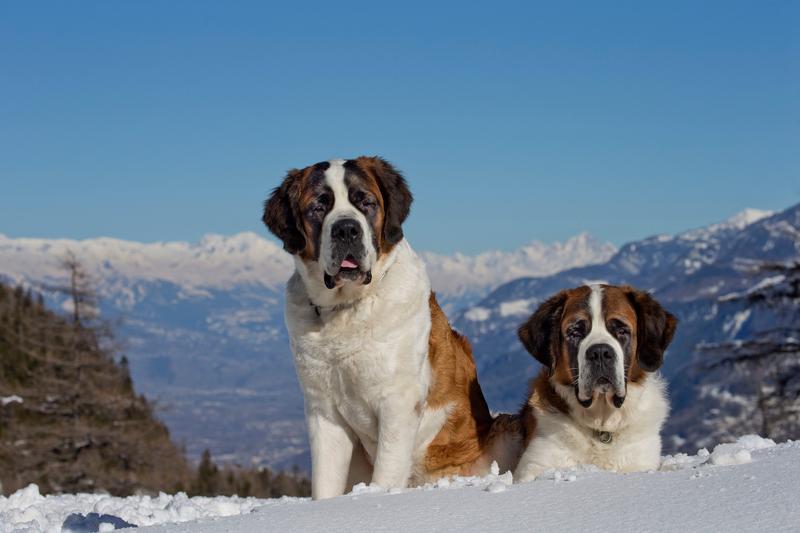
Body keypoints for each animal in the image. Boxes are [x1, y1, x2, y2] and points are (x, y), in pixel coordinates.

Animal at [262, 156, 496, 496]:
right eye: (318, 206)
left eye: (366, 202)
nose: (347, 229)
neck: (346, 309)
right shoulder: (323, 410)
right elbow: (325, 481)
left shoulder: (398, 401)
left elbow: (387, 467)